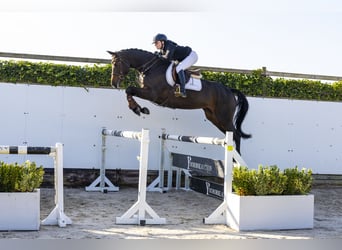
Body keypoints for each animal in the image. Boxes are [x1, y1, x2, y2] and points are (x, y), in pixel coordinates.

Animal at [107, 47, 251, 151]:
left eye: (116, 63)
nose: (113, 84)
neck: (151, 68)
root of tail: (229, 90)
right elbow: (129, 91)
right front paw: (139, 109)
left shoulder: (152, 94)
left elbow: (129, 89)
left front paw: (137, 109)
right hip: (214, 117)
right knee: (230, 135)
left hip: (224, 117)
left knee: (236, 135)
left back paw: (237, 163)